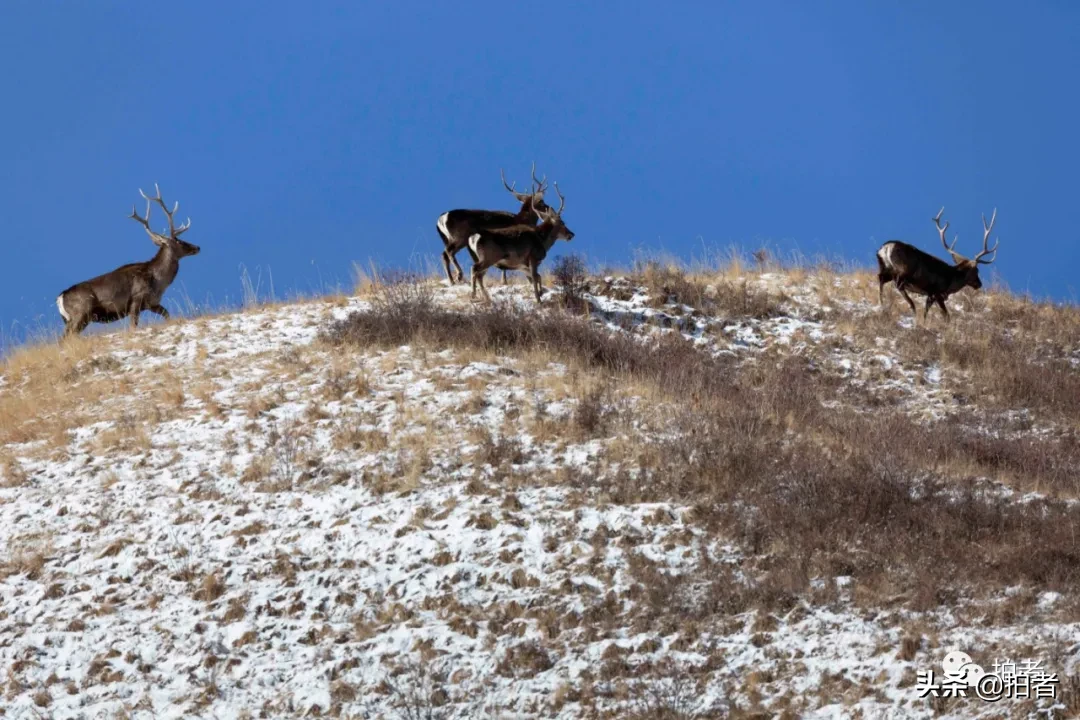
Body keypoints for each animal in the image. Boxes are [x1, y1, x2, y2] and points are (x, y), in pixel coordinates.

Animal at [54, 183, 199, 334]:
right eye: (179, 241)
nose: (197, 247)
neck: (159, 282)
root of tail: (60, 298)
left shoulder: (152, 303)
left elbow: (167, 314)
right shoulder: (136, 300)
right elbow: (133, 326)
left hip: (73, 319)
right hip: (81, 312)